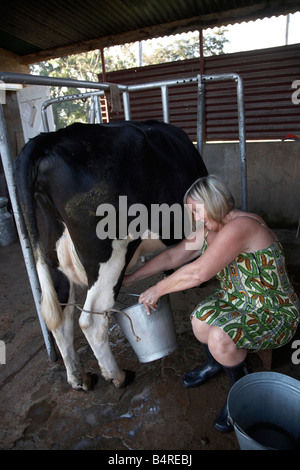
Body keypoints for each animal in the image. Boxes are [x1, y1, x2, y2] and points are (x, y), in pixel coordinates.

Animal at [15, 119, 207, 392]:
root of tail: (52, 137)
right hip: (109, 257)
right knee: (91, 321)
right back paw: (118, 376)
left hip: (53, 258)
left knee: (61, 319)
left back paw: (79, 378)